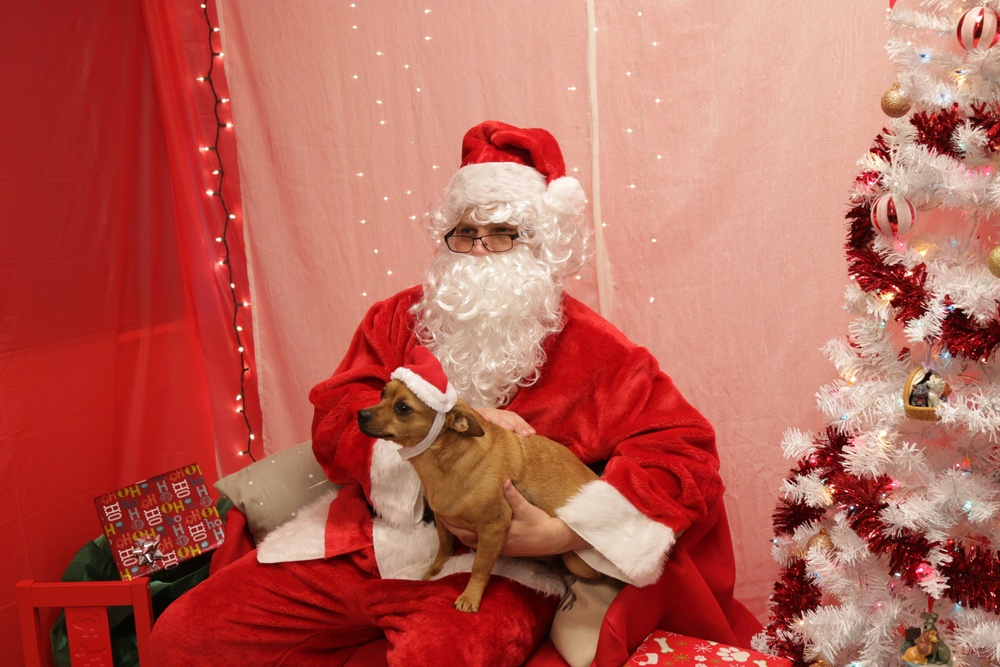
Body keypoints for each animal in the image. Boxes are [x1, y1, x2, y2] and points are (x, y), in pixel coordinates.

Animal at [356, 378, 596, 612]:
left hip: (576, 560)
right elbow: (444, 548)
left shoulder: (492, 530)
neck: (442, 465)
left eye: (403, 408)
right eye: (382, 393)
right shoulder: (442, 521)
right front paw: (435, 571)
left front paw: (470, 596)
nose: (360, 414)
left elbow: (479, 567)